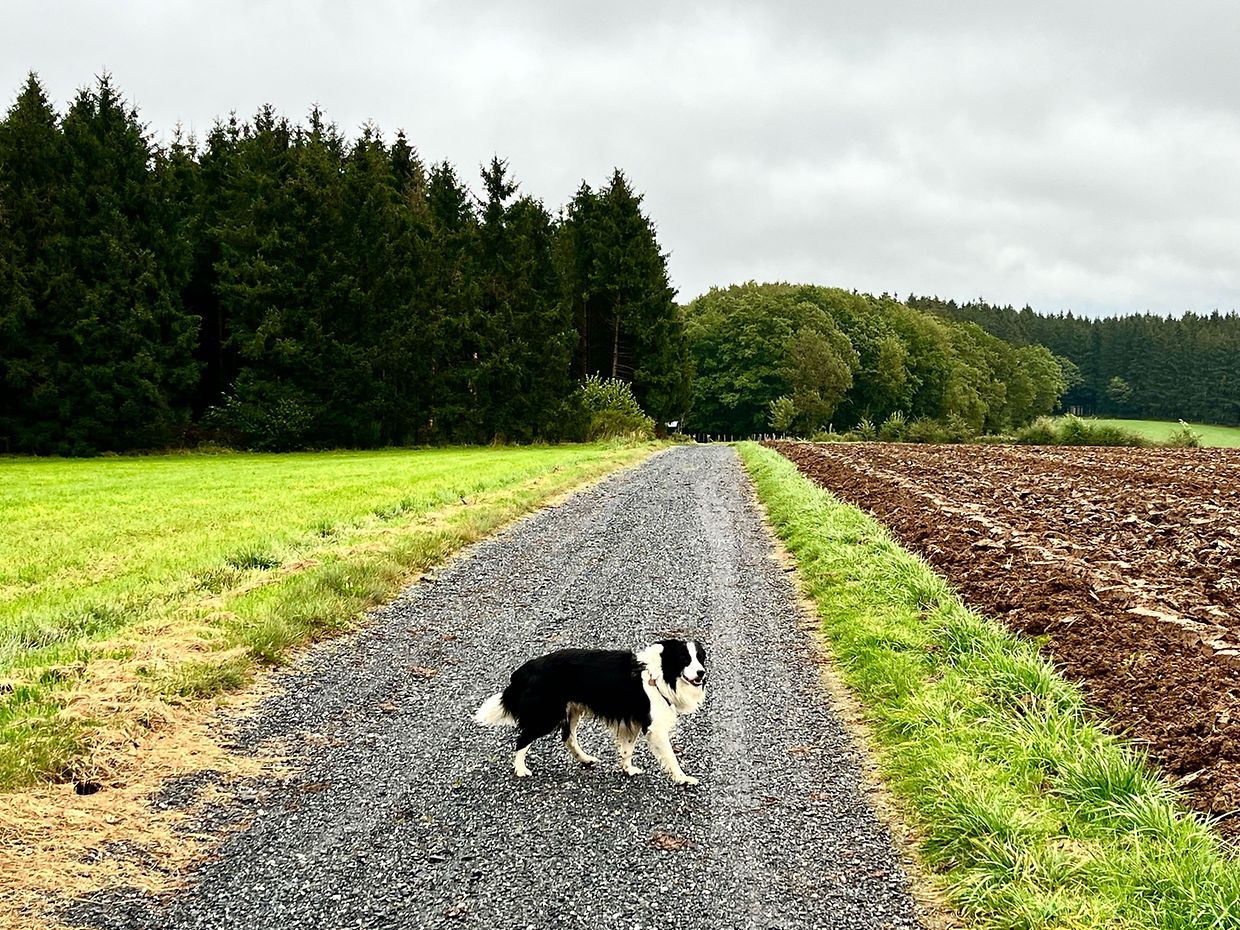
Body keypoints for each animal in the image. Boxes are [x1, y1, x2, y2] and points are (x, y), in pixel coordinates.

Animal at [473, 639, 707, 785]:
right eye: (685, 659)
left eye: (700, 658)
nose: (701, 673)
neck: (660, 675)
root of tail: (524, 670)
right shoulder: (654, 727)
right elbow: (671, 757)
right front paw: (683, 779)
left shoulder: (632, 722)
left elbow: (626, 750)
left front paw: (627, 769)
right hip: (546, 715)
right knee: (523, 739)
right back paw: (520, 769)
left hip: (571, 710)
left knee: (568, 738)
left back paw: (585, 759)